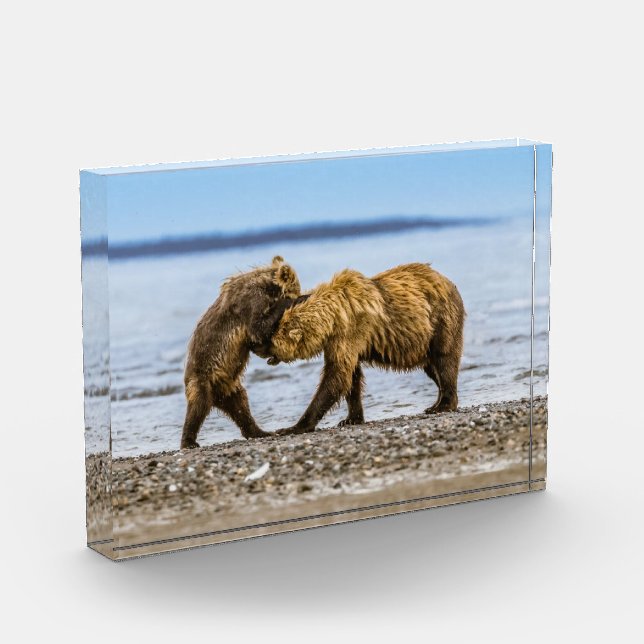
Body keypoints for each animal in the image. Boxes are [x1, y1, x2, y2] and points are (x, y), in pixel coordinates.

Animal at [180, 256, 301, 449]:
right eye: (298, 289)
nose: (299, 293)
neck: (268, 287)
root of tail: (217, 398)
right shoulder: (251, 302)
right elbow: (258, 328)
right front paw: (286, 303)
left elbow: (257, 339)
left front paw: (272, 356)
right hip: (202, 378)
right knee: (198, 407)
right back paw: (189, 441)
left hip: (229, 385)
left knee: (241, 406)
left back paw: (260, 431)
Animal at [255, 262, 465, 435]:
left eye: (270, 338)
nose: (256, 347)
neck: (332, 317)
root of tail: (447, 280)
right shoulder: (339, 341)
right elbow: (351, 377)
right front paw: (350, 419)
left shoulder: (352, 330)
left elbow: (336, 376)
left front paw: (294, 426)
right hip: (424, 341)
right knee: (431, 367)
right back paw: (437, 402)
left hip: (441, 319)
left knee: (444, 359)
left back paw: (443, 404)